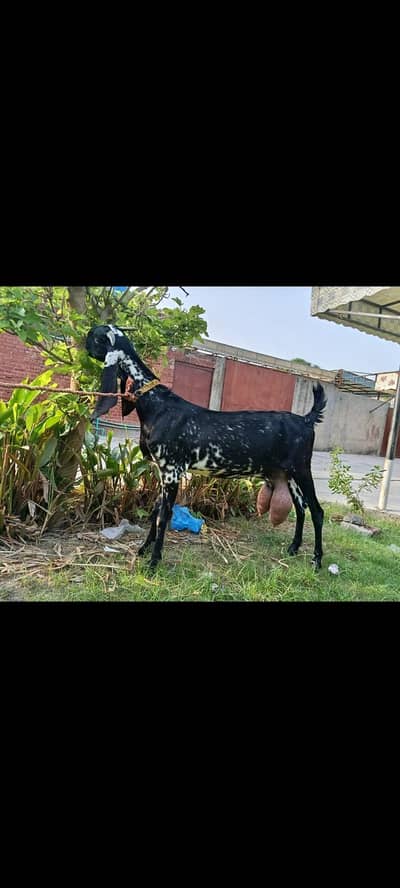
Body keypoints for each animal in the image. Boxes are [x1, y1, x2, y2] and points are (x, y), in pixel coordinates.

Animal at [86, 324, 327, 570]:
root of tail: (306, 420)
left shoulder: (172, 472)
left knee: (317, 511)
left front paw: (154, 561)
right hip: (288, 474)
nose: (84, 341)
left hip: (301, 469)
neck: (159, 405)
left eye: (94, 335)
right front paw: (144, 550)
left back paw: (317, 559)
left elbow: (163, 516)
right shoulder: (163, 473)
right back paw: (294, 548)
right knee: (301, 508)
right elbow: (155, 511)